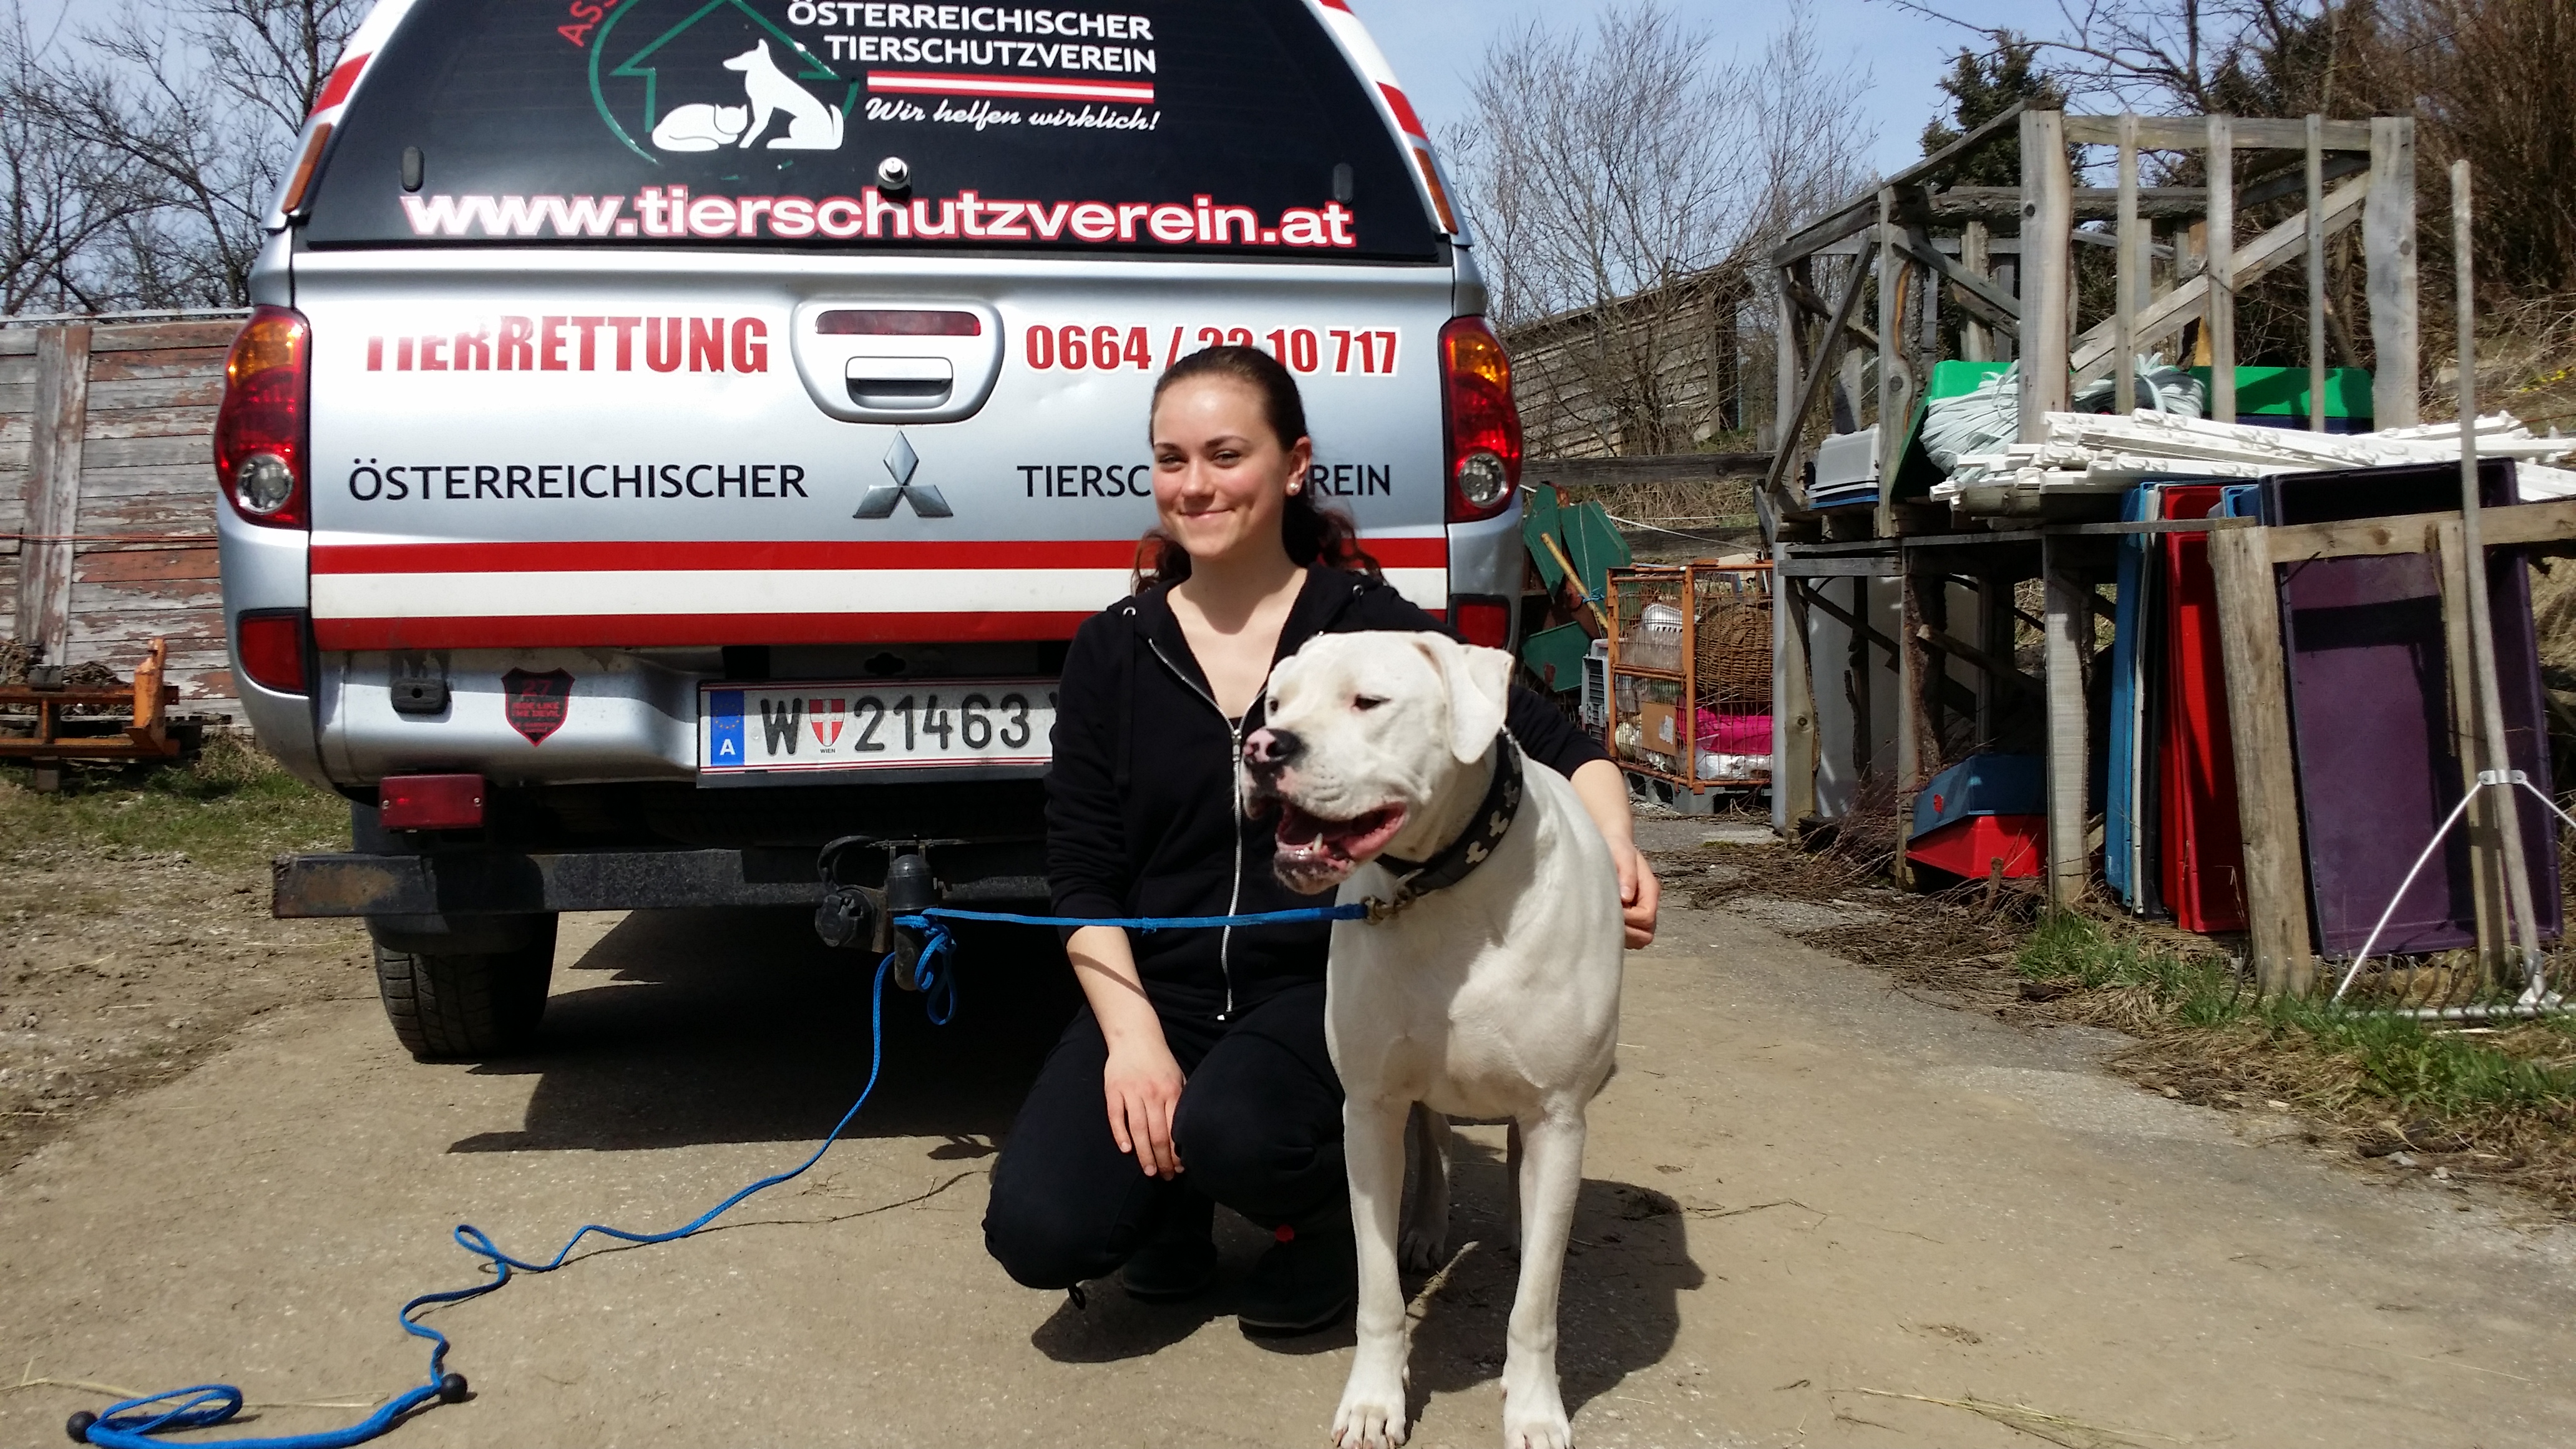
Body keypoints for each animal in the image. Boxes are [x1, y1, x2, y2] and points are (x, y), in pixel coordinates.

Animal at [1236, 629, 1617, 1443]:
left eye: (1368, 701)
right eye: (1277, 704)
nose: (1262, 747)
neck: (1442, 886)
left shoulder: (1559, 1113)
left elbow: (1536, 1305)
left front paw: (1535, 1408)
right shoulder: (1369, 1110)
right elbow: (1376, 1289)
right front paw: (1374, 1401)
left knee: (1517, 1162)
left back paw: (1521, 1223)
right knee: (1436, 1140)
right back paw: (1426, 1228)